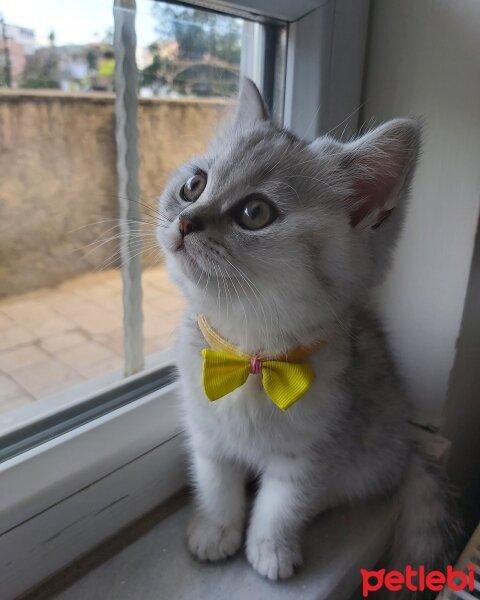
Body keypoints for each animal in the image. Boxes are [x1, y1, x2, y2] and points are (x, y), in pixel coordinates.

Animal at [157, 78, 458, 584]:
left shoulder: (315, 451)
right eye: (193, 185)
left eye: (255, 212)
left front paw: (270, 548)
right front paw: (217, 528)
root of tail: (407, 448)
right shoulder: (206, 432)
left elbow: (283, 504)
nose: (185, 220)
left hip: (371, 451)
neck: (250, 356)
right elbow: (216, 482)